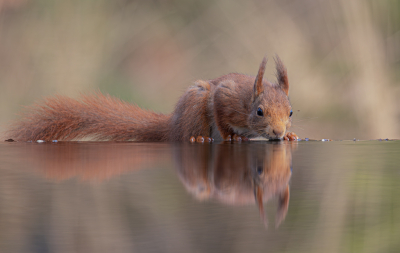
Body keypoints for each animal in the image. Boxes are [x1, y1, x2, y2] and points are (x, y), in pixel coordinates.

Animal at [6, 55, 296, 142]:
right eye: (259, 112)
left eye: (291, 112)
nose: (279, 132)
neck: (247, 100)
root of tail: (173, 124)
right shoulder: (224, 98)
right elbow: (221, 118)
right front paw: (231, 136)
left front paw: (291, 135)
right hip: (195, 107)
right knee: (189, 133)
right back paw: (198, 138)